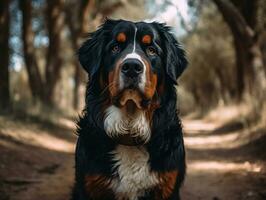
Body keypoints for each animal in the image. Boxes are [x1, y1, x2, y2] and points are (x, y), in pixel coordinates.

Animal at [70, 19, 187, 200]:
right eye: (115, 48)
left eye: (152, 50)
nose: (132, 66)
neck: (129, 133)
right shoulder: (88, 186)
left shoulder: (168, 187)